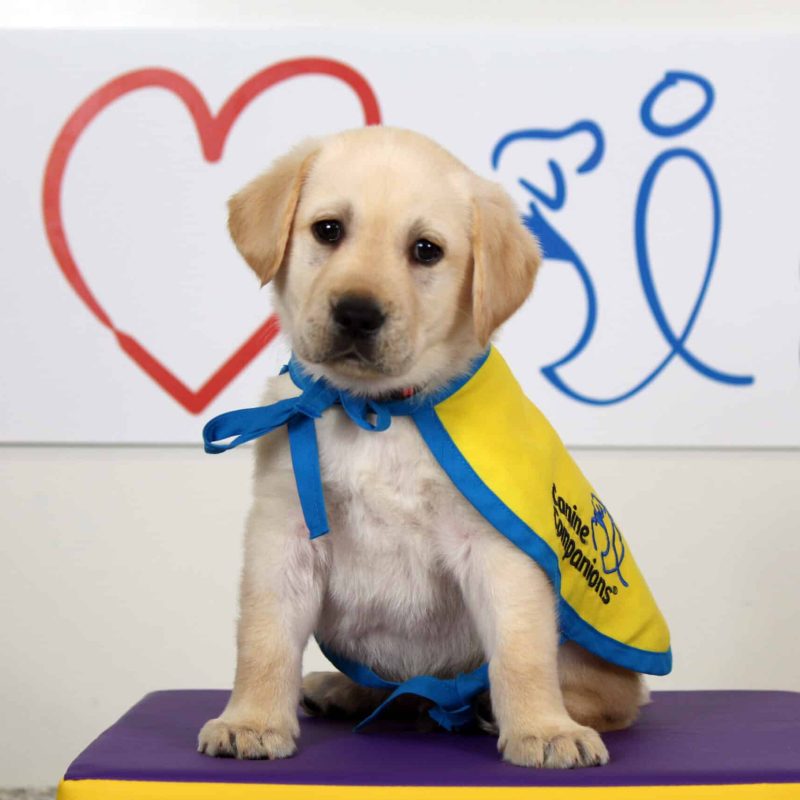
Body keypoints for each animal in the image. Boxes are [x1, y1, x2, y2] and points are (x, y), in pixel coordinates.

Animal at [197, 130, 648, 768]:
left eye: (426, 251)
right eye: (328, 230)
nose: (356, 313)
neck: (376, 411)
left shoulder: (498, 550)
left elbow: (521, 654)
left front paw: (542, 730)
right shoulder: (283, 535)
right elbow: (263, 640)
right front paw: (252, 719)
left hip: (591, 663)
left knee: (613, 697)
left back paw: (501, 710)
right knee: (402, 691)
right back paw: (342, 689)